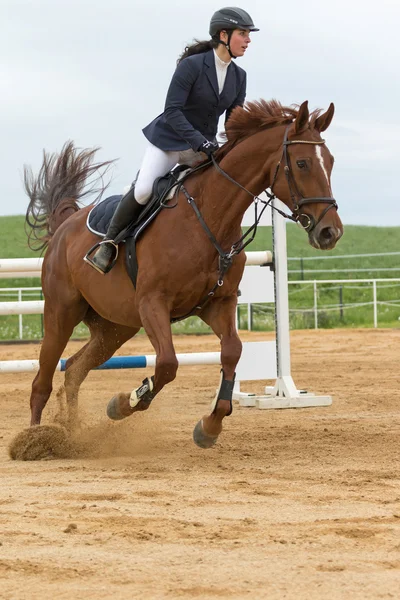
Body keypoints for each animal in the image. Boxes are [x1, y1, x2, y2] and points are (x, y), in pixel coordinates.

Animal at [24, 98, 344, 448]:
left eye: (330, 162)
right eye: (301, 163)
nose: (330, 232)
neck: (209, 218)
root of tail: (65, 227)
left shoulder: (217, 303)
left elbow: (232, 352)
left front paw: (210, 425)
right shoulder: (153, 303)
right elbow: (167, 364)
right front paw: (124, 403)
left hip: (116, 327)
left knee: (74, 369)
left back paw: (70, 435)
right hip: (61, 312)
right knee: (43, 379)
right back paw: (33, 440)